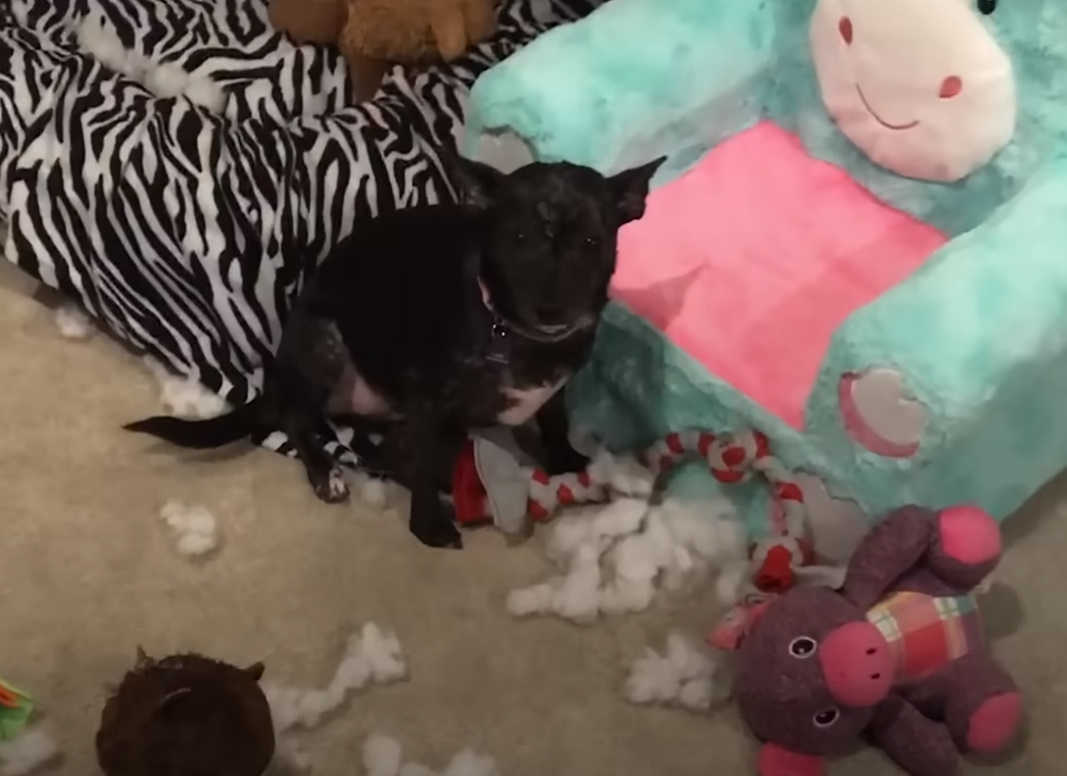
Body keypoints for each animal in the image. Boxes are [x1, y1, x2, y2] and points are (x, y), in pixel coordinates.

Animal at [122, 154, 657, 550]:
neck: (509, 328)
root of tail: (279, 373)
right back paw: (326, 473)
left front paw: (568, 462)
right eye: (518, 237)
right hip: (327, 346)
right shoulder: (427, 404)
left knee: (384, 453)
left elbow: (555, 421)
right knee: (299, 418)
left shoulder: (554, 388)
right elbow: (419, 470)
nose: (552, 309)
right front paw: (429, 527)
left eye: (593, 241)